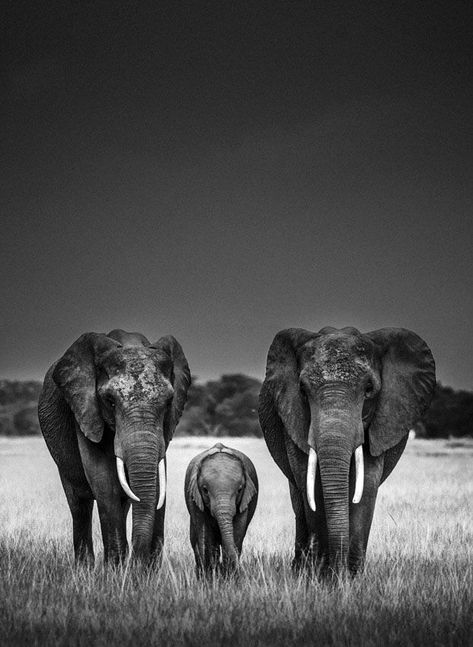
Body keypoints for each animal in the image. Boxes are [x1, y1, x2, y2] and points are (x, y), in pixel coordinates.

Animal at [38, 330, 190, 568]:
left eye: (168, 402)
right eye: (110, 401)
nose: (139, 565)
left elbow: (157, 483)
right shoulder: (86, 411)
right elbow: (104, 481)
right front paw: (115, 571)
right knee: (79, 505)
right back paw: (85, 568)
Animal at [184, 442, 258, 576]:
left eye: (239, 490)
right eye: (205, 490)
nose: (240, 570)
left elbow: (238, 530)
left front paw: (228, 577)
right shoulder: (194, 497)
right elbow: (205, 534)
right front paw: (210, 578)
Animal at [258, 326, 436, 576]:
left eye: (369, 390)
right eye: (302, 390)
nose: (338, 571)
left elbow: (367, 485)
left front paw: (350, 577)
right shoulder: (292, 418)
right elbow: (310, 485)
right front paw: (322, 575)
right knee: (299, 498)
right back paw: (300, 569)